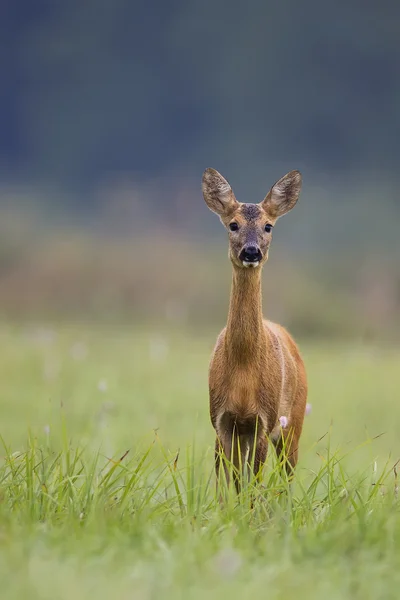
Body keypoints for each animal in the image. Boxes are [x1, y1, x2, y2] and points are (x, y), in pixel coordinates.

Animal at [202, 168, 308, 492]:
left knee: (286, 474)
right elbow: (226, 484)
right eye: (233, 224)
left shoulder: (264, 420)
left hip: (293, 422)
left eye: (268, 226)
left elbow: (252, 486)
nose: (251, 251)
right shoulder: (221, 420)